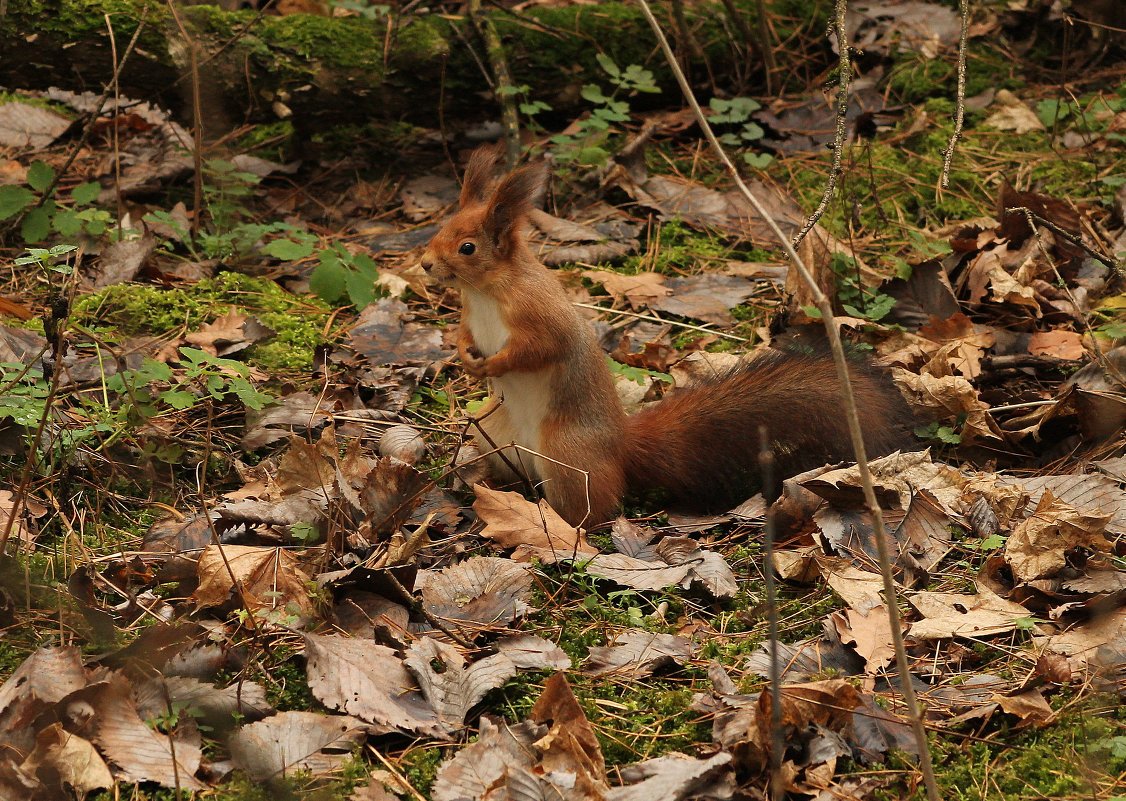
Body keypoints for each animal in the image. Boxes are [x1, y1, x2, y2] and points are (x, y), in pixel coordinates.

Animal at [423, 147, 914, 529]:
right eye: (440, 230)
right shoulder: (472, 315)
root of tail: (620, 445)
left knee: (591, 510)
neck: (486, 292)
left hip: (568, 458)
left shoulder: (539, 315)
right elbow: (464, 332)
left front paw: (494, 363)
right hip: (490, 432)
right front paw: (465, 355)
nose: (426, 264)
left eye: (467, 247)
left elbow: (540, 348)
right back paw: (481, 482)